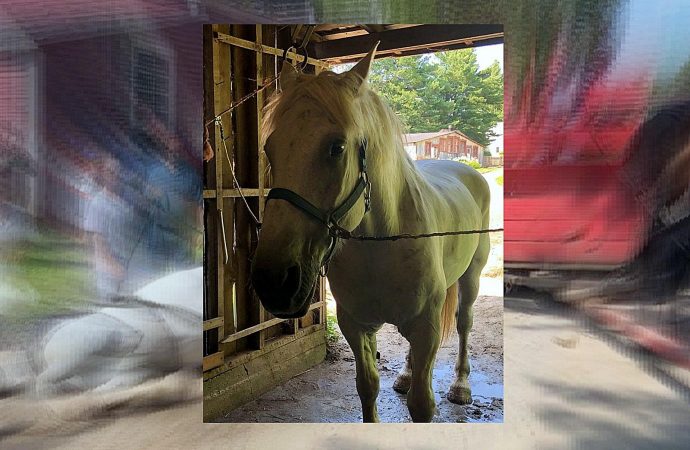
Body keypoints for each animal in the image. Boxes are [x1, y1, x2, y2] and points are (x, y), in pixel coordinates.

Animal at [250, 43, 491, 423]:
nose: (273, 281)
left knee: (464, 323)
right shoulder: (356, 326)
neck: (382, 247)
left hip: (472, 277)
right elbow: (368, 388)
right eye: (269, 148)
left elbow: (422, 405)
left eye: (337, 147)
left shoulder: (426, 328)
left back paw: (461, 386)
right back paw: (406, 375)